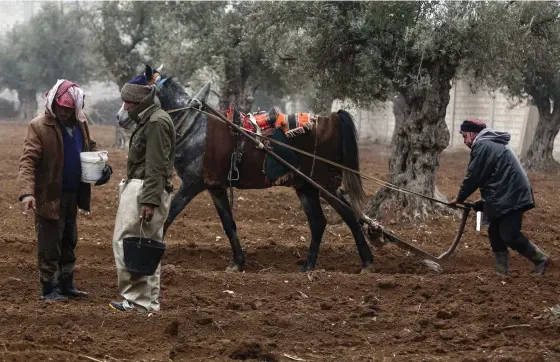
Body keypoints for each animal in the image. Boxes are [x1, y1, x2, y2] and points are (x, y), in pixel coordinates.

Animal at [116, 64, 374, 272]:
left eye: (139, 87)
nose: (119, 117)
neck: (195, 126)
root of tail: (332, 118)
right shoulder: (215, 186)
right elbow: (228, 224)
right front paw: (237, 263)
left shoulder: (192, 184)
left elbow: (169, 217)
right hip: (307, 186)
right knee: (327, 220)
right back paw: (323, 264)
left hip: (321, 183)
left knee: (340, 216)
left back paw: (357, 263)